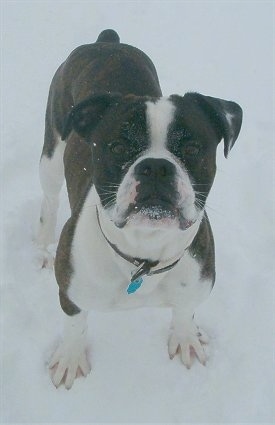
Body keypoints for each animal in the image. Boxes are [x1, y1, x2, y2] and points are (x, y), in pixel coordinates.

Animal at [37, 29, 244, 388]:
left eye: (192, 148)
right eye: (118, 147)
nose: (156, 167)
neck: (144, 253)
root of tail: (107, 42)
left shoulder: (195, 284)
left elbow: (184, 311)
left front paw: (186, 339)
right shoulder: (71, 293)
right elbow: (75, 325)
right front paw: (70, 359)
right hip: (52, 152)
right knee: (49, 202)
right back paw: (45, 247)